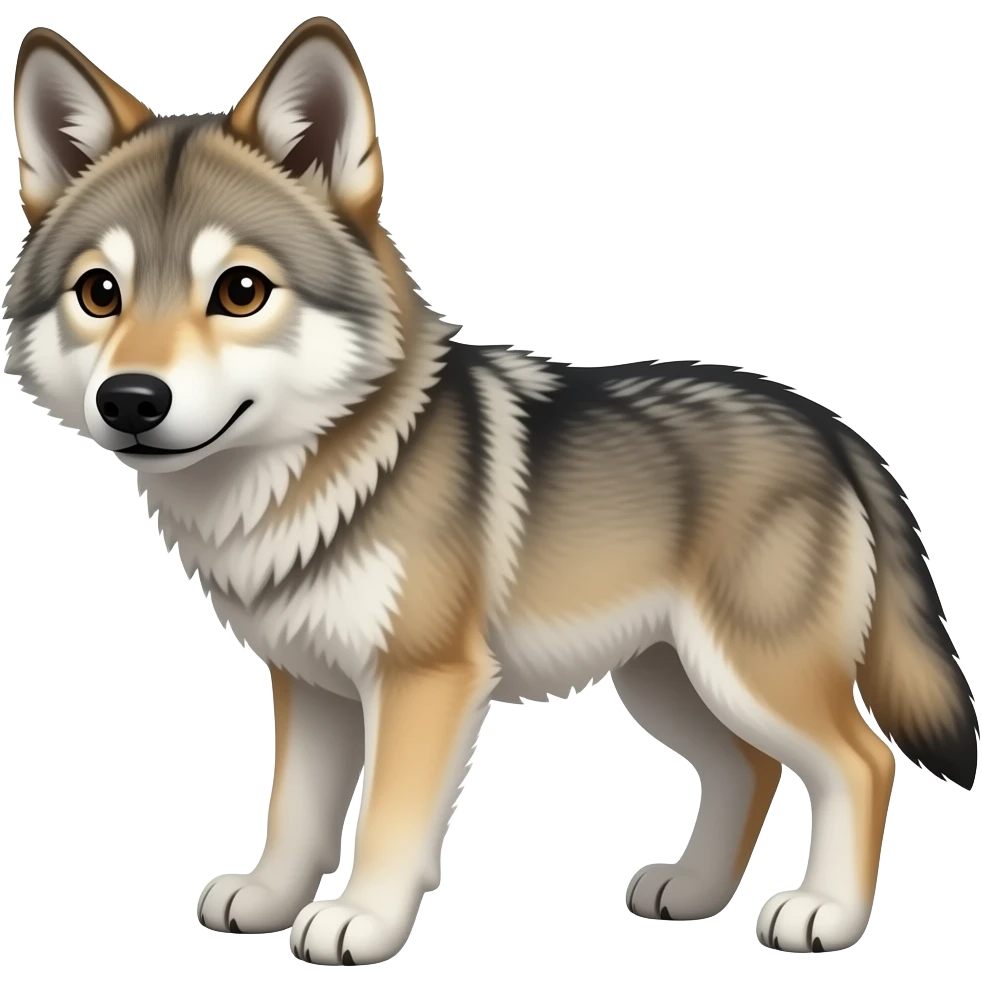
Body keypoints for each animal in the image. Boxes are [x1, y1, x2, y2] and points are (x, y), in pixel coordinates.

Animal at [4, 16, 978, 965]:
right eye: (99, 292)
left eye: (240, 290)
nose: (131, 401)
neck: (318, 474)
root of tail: (832, 427)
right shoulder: (311, 683)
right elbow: (296, 815)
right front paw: (271, 901)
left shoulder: (424, 681)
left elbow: (388, 821)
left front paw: (360, 922)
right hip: (668, 680)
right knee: (751, 769)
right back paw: (695, 893)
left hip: (748, 673)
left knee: (861, 761)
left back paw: (825, 915)